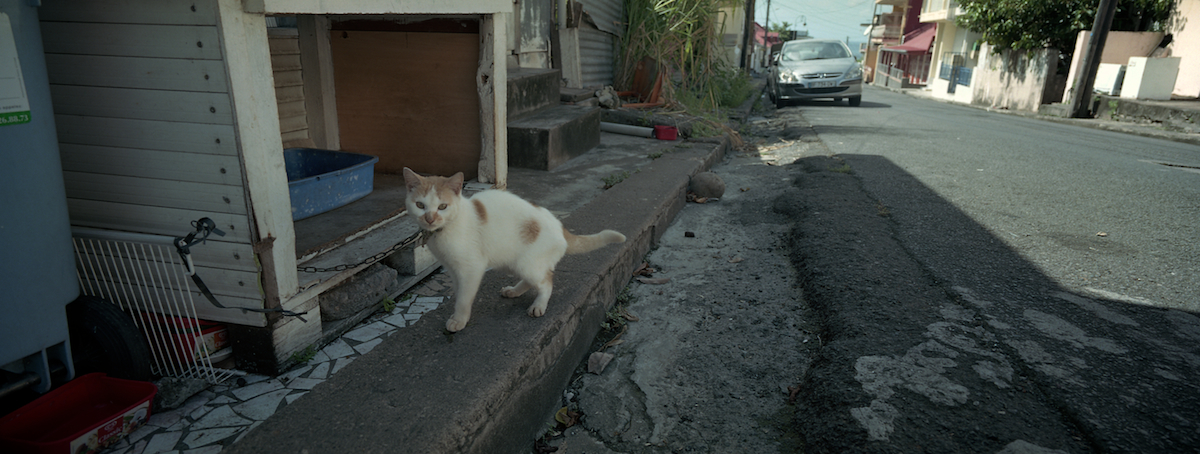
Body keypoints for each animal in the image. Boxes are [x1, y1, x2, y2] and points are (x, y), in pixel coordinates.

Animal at [403, 168, 628, 331]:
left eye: (442, 207)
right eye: (420, 205)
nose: (429, 219)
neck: (445, 229)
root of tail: (560, 226)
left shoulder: (471, 268)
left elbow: (464, 297)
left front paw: (459, 319)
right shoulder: (452, 268)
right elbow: (459, 291)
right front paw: (458, 311)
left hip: (527, 263)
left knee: (547, 281)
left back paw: (539, 305)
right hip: (514, 262)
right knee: (533, 279)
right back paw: (514, 291)